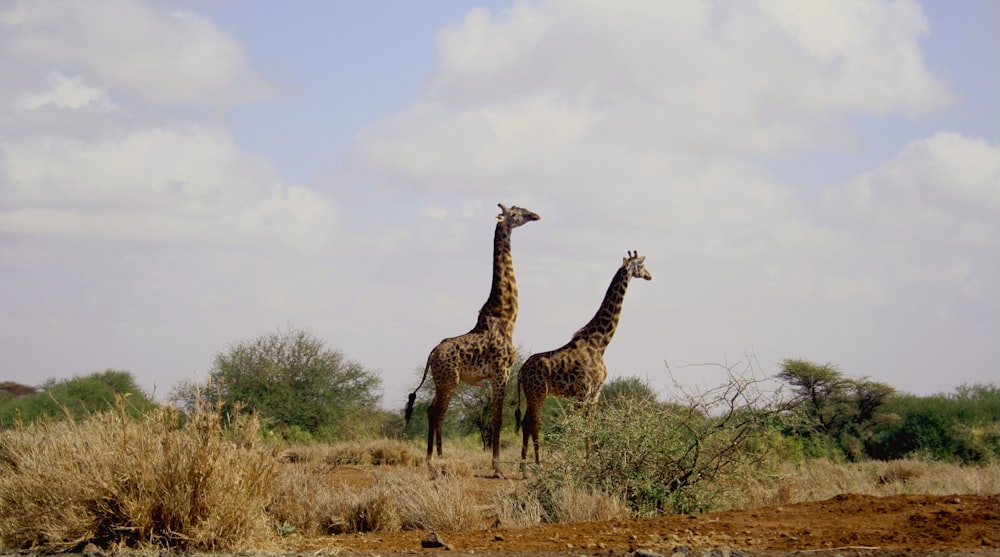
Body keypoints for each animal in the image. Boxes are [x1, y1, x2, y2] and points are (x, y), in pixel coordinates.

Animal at [404, 202, 540, 476]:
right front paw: (497, 468)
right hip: (449, 380)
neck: (506, 318)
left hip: (443, 380)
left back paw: (436, 457)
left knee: (432, 410)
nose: (535, 215)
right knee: (436, 411)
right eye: (515, 213)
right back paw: (431, 460)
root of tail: (432, 353)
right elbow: (497, 418)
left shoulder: (498, 373)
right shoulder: (501, 370)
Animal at [516, 251, 648, 464]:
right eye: (643, 265)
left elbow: (589, 426)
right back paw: (535, 465)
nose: (649, 276)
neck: (601, 344)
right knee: (533, 423)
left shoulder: (596, 392)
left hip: (533, 393)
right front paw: (573, 462)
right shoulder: (583, 391)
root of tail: (520, 372)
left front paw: (590, 460)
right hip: (538, 392)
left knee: (527, 422)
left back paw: (525, 465)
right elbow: (575, 426)